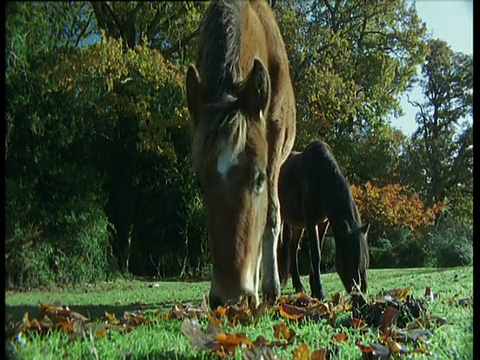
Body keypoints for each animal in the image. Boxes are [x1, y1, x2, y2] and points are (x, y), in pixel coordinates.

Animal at [187, 0, 296, 310]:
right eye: (200, 183)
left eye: (257, 179)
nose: (231, 298)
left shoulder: (273, 154)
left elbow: (270, 218)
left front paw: (270, 288)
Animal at [276, 141, 370, 300]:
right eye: (350, 260)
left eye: (365, 260)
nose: (360, 292)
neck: (321, 178)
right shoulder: (310, 221)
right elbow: (316, 254)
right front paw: (319, 292)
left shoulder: (323, 223)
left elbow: (317, 251)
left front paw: (314, 288)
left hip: (298, 223)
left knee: (293, 248)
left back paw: (298, 284)